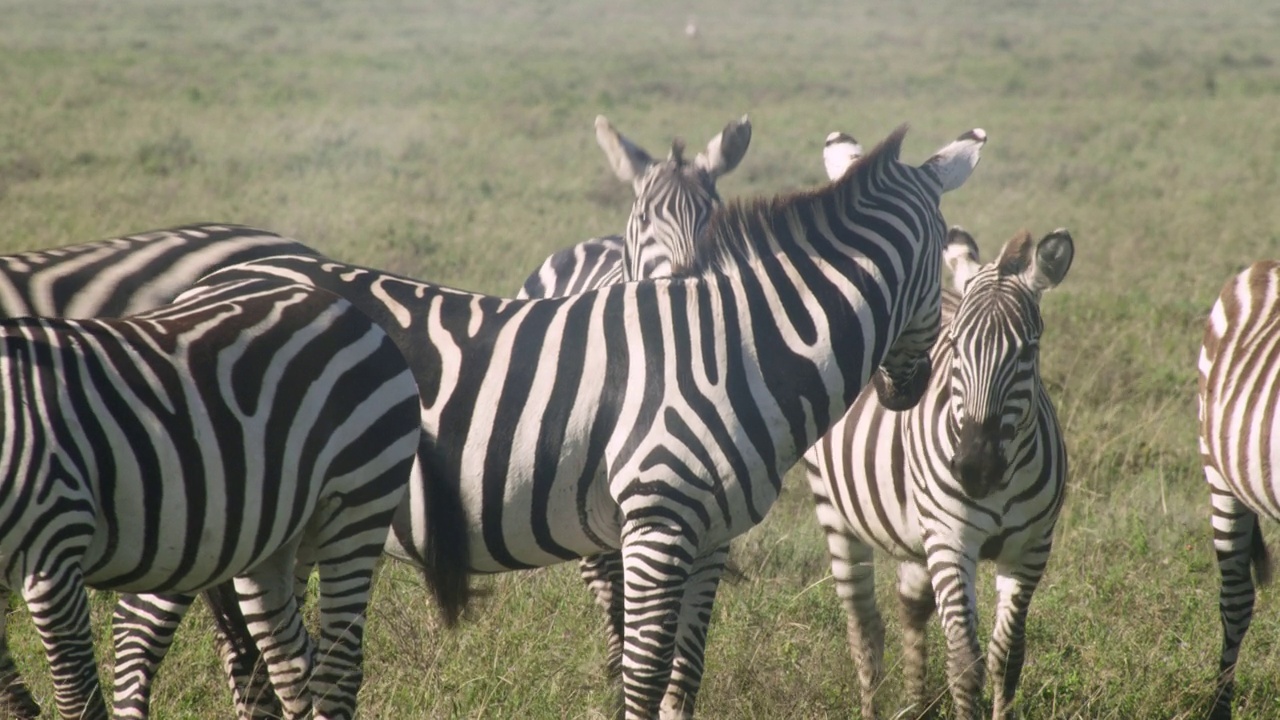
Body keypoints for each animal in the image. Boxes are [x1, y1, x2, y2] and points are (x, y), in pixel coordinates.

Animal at [0, 271, 458, 712]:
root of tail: (346, 307)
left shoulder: (53, 554)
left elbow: (77, 699)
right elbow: (14, 694)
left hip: (359, 501)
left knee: (336, 669)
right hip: (273, 535)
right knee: (291, 663)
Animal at [803, 225, 1075, 717]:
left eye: (1029, 349)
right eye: (955, 348)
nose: (975, 469)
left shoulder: (1031, 549)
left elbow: (1009, 656)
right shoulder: (952, 541)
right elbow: (965, 661)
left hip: (918, 532)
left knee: (910, 608)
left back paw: (916, 705)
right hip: (835, 511)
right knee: (864, 628)